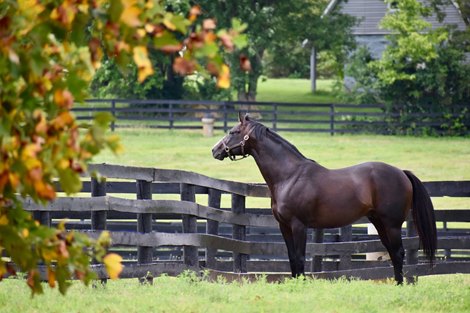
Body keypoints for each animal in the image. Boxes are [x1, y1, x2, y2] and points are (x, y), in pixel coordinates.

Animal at [213, 113, 436, 284]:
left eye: (233, 132)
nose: (214, 150)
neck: (289, 176)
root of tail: (402, 173)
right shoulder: (284, 226)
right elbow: (291, 257)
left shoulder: (298, 225)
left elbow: (300, 257)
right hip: (380, 223)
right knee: (392, 252)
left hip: (392, 225)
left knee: (398, 253)